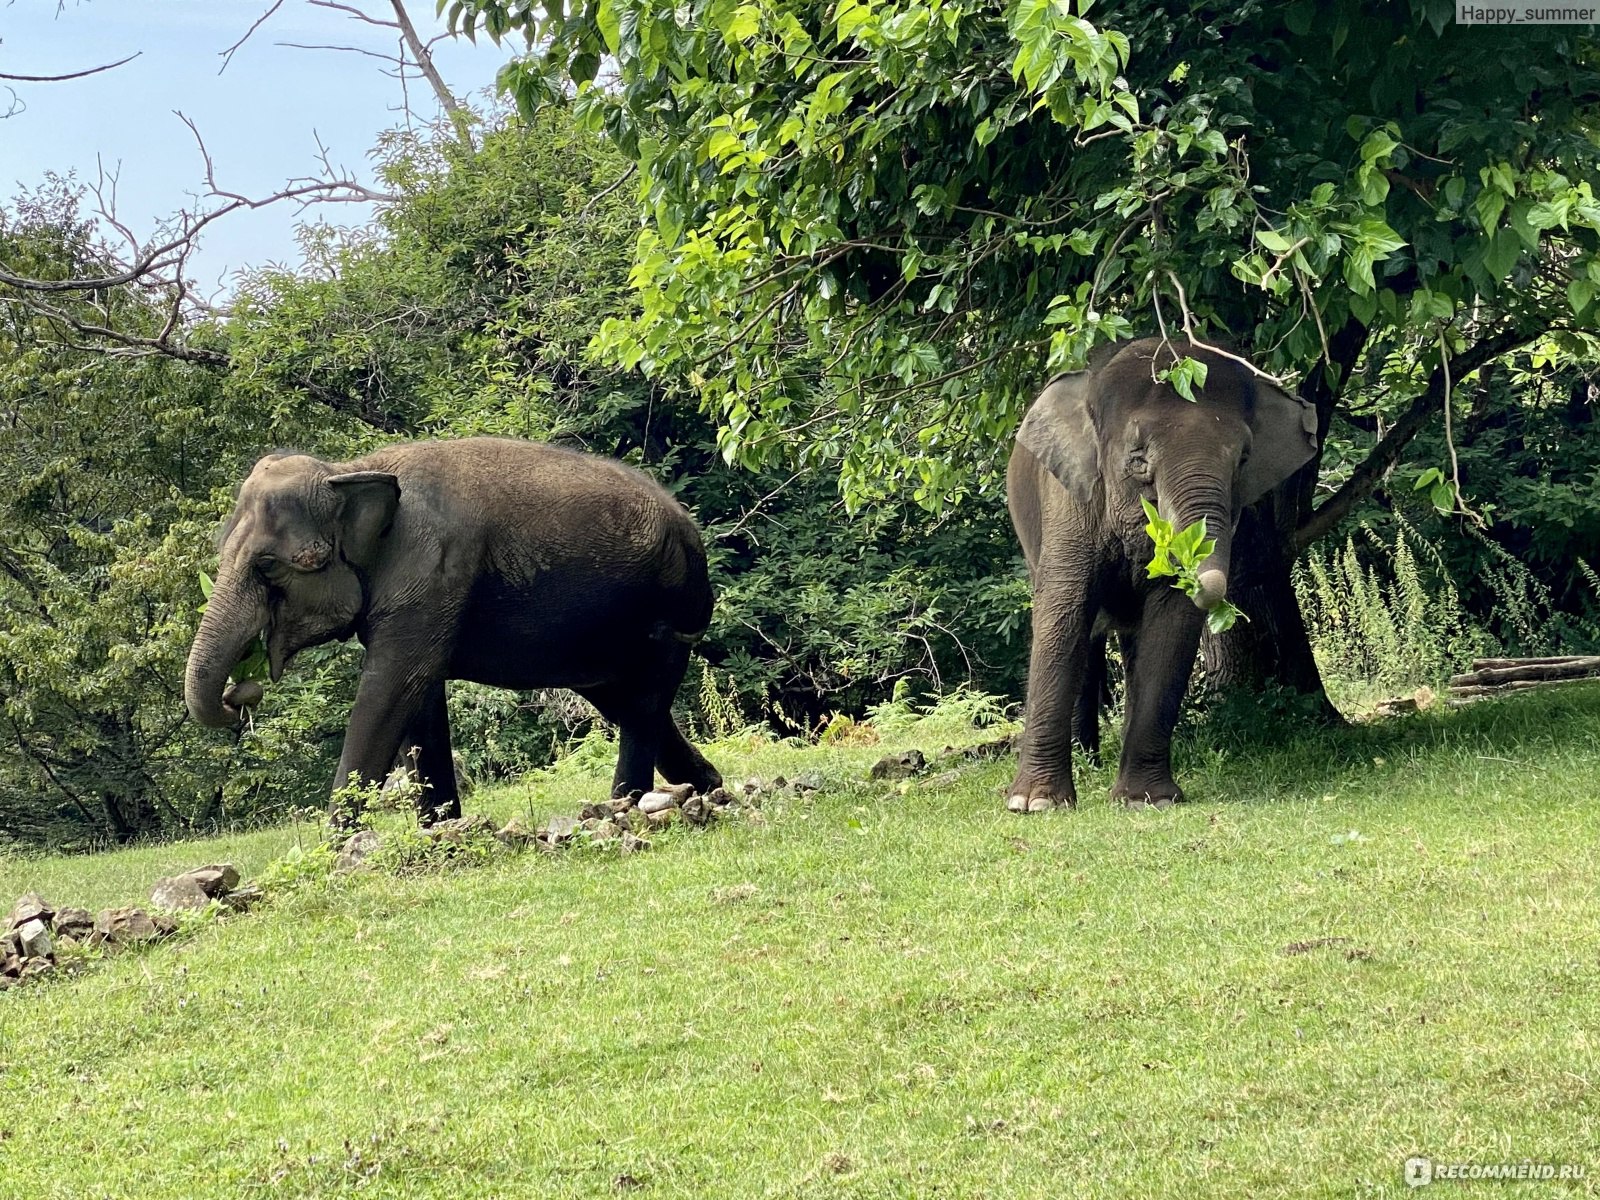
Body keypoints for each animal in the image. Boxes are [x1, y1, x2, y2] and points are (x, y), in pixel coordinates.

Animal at [183, 438, 726, 825]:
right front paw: (440, 827)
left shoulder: (431, 571)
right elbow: (418, 696)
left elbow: (394, 685)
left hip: (670, 611)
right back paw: (708, 788)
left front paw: (335, 848)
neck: (353, 468)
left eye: (268, 566)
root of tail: (690, 526)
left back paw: (622, 809)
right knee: (628, 704)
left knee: (642, 705)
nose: (241, 693)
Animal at [1004, 334, 1318, 812]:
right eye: (1138, 461)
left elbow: (1170, 624)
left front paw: (1145, 800)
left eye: (1244, 460)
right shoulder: (1067, 500)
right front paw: (1035, 804)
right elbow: (1062, 611)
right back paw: (1086, 759)